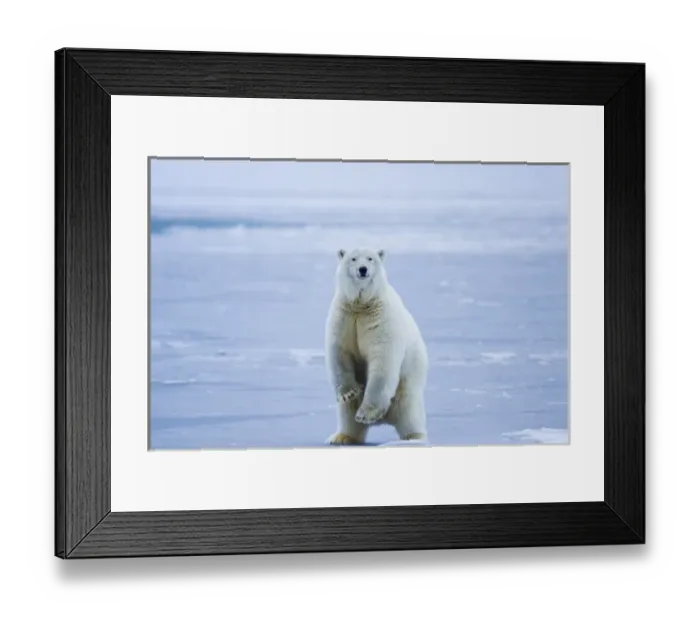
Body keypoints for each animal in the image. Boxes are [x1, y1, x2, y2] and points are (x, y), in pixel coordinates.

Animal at [324, 247, 429, 446]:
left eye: (370, 258)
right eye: (353, 258)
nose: (363, 269)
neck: (362, 305)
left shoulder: (381, 320)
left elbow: (382, 361)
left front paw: (366, 414)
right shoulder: (344, 316)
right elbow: (340, 352)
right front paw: (348, 393)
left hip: (408, 385)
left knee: (409, 413)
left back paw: (413, 438)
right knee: (347, 414)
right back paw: (342, 437)